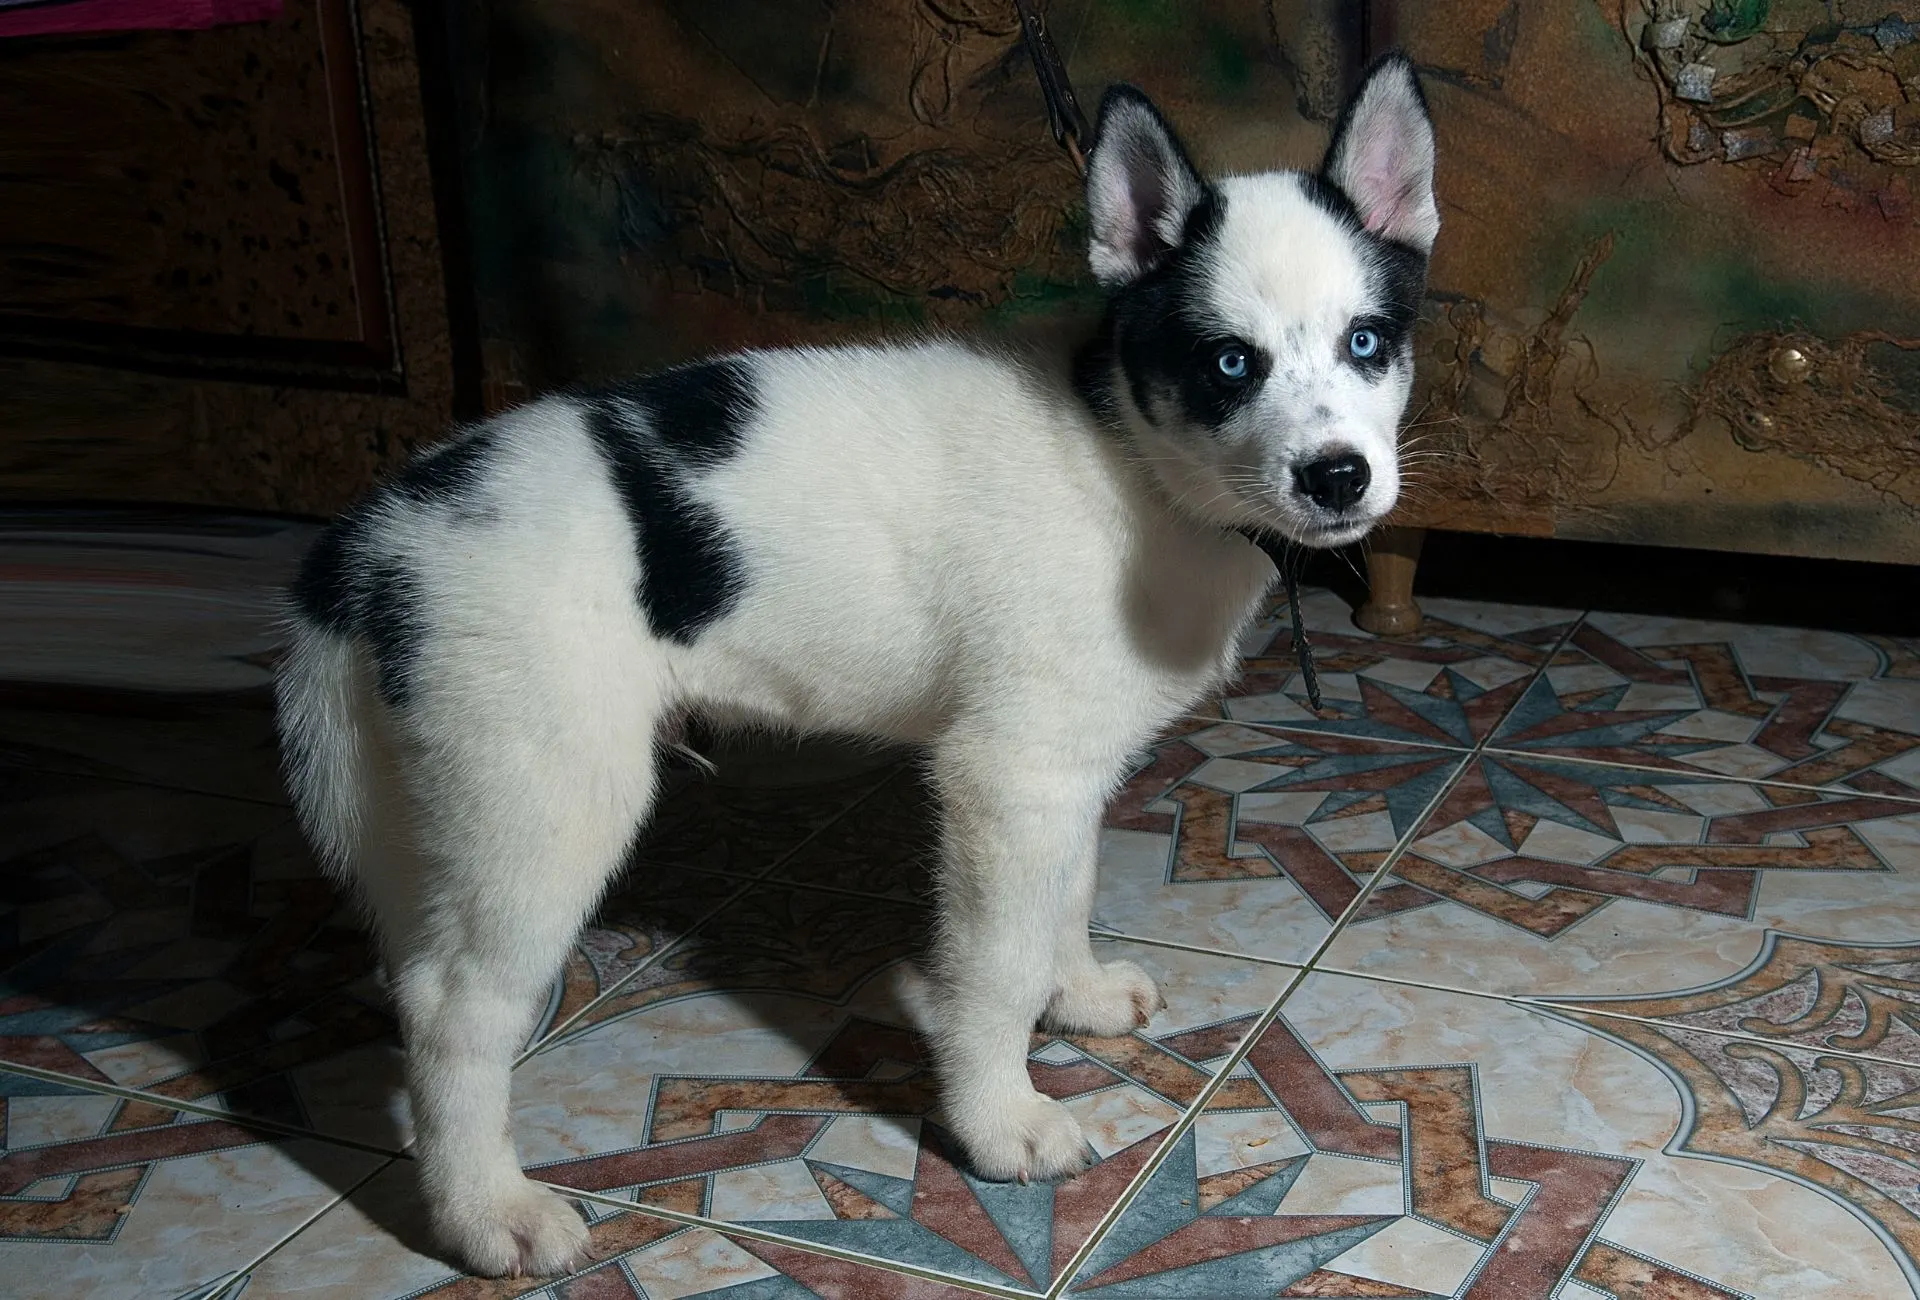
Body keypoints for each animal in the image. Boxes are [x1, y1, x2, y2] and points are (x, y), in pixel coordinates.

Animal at [278, 53, 1436, 1275]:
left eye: (1367, 342)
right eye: (1227, 364)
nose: (1337, 476)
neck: (1131, 456)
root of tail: (373, 534)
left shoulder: (1060, 771)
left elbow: (1063, 897)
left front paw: (1072, 995)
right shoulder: (1003, 780)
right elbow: (993, 966)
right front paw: (999, 1119)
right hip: (547, 805)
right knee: (450, 1008)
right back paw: (485, 1207)